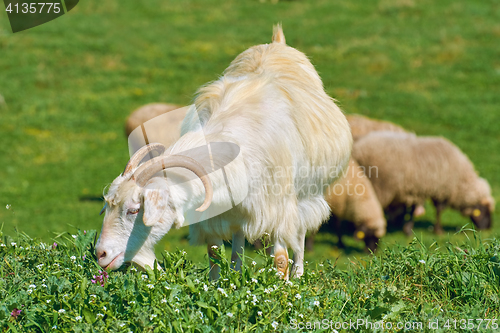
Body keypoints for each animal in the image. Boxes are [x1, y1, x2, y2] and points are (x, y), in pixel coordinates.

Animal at [94, 25, 352, 278]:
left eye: (134, 210)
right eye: (107, 207)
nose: (101, 254)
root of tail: (277, 42)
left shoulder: (276, 210)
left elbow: (280, 259)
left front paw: (283, 288)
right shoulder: (213, 217)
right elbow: (214, 257)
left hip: (306, 194)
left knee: (299, 234)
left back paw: (297, 275)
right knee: (239, 239)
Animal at [354, 131, 494, 235]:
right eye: (485, 211)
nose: (488, 228)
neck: (460, 181)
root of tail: (359, 147)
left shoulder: (415, 189)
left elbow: (412, 208)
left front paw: (407, 228)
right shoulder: (441, 190)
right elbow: (439, 210)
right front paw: (438, 230)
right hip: (379, 185)